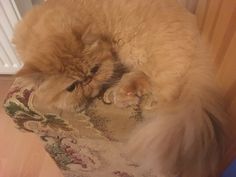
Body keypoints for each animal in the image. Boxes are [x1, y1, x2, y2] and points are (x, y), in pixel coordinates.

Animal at [13, 0, 229, 177]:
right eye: (72, 86)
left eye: (94, 70)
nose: (89, 84)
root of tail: (199, 44)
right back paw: (121, 94)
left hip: (134, 49)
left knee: (165, 97)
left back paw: (134, 101)